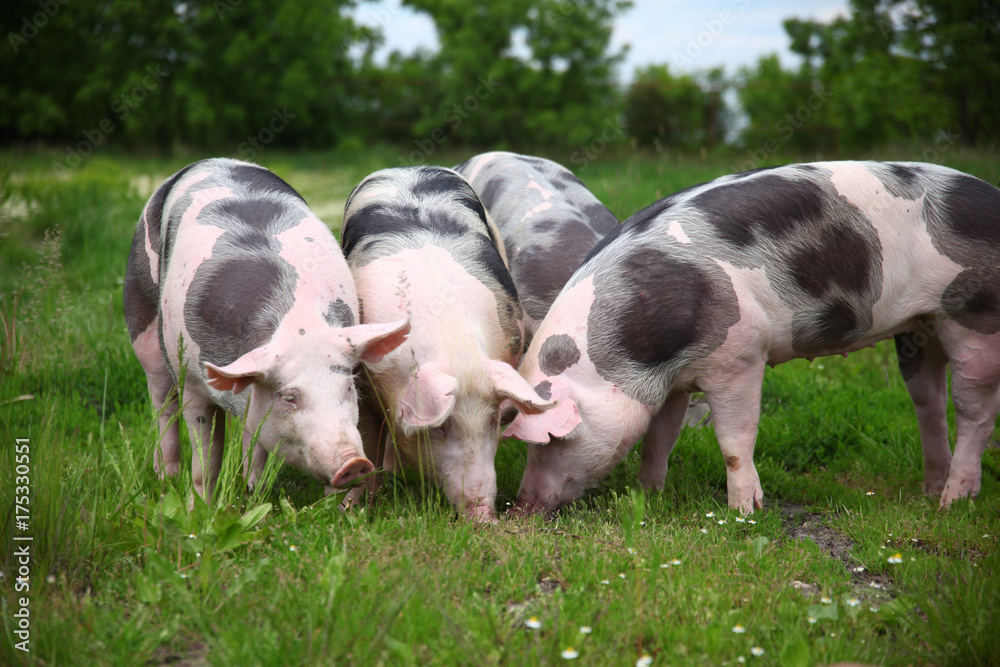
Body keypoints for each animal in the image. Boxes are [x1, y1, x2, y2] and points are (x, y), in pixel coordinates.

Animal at [123, 158, 409, 500]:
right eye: (290, 398)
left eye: (349, 389)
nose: (353, 463)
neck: (298, 327)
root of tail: (211, 161)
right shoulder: (192, 379)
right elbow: (206, 460)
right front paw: (200, 507)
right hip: (143, 319)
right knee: (162, 403)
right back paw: (166, 477)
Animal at [341, 165, 555, 520]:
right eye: (440, 428)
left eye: (493, 420)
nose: (483, 516)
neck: (454, 344)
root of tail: (407, 168)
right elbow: (369, 440)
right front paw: (351, 510)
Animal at [506, 161, 1000, 514]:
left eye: (553, 440)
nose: (520, 507)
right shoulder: (673, 381)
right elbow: (659, 437)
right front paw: (649, 496)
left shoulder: (740, 354)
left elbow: (734, 440)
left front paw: (745, 512)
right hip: (921, 327)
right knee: (929, 401)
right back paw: (929, 491)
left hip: (974, 318)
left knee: (975, 414)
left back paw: (952, 503)